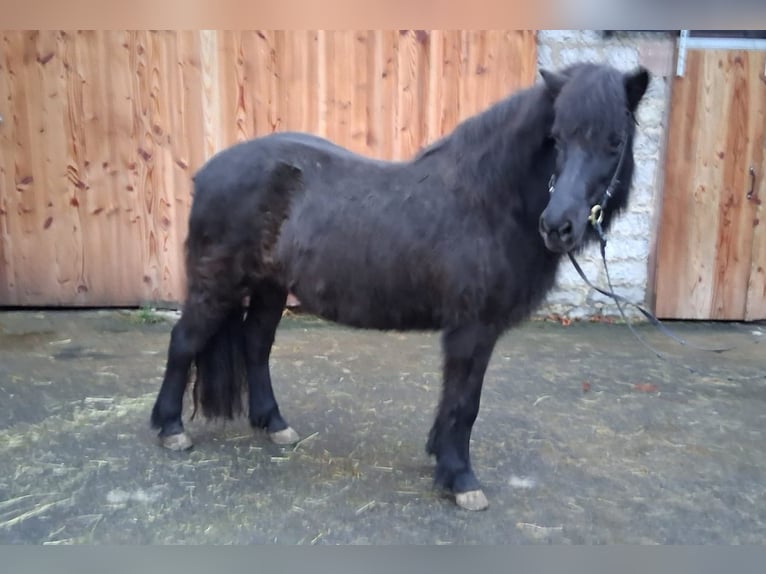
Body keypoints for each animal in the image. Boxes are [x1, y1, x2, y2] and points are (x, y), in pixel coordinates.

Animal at [150, 62, 650, 511]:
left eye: (614, 141)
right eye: (558, 138)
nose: (558, 226)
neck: (488, 201)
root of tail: (207, 173)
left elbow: (455, 400)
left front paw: (441, 457)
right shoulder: (473, 328)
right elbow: (464, 402)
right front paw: (460, 478)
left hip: (271, 287)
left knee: (255, 345)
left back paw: (273, 424)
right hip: (217, 285)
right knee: (183, 341)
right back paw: (171, 429)